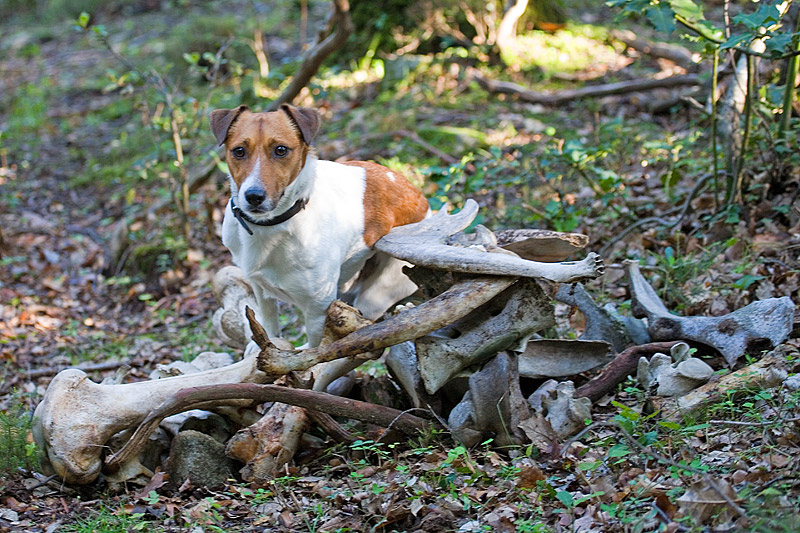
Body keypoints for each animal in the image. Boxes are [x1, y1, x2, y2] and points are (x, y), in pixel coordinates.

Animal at [209, 104, 428, 348]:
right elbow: (270, 332)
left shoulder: (318, 309)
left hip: (379, 292)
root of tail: (421, 198)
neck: (273, 226)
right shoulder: (261, 292)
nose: (253, 196)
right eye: (239, 151)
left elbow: (315, 349)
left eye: (281, 150)